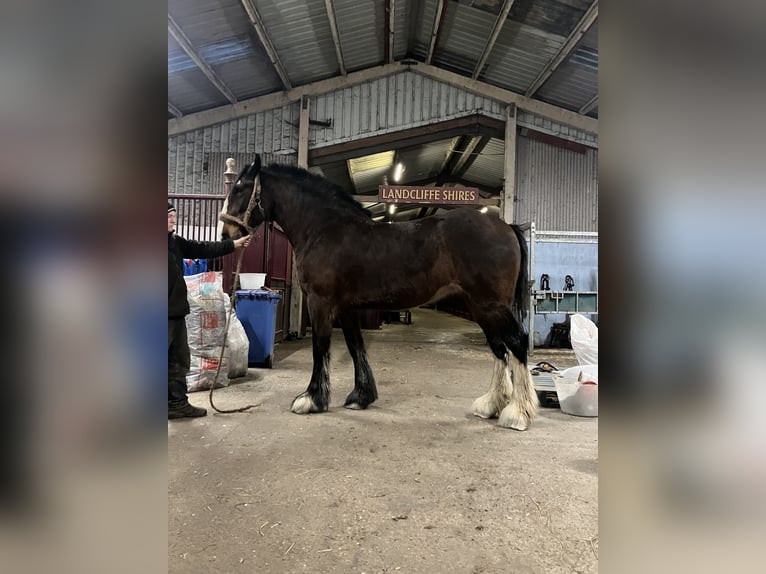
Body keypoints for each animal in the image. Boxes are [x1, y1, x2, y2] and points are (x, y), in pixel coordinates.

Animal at [220, 155, 538, 430]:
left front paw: (311, 399)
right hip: (481, 307)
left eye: (241, 189)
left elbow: (320, 347)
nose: (226, 235)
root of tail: (505, 226)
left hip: (492, 305)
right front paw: (361, 397)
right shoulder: (345, 308)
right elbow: (355, 346)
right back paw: (490, 405)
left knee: (516, 343)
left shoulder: (321, 303)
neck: (325, 229)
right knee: (499, 348)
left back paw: (517, 414)